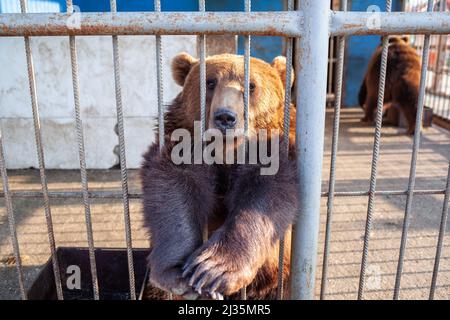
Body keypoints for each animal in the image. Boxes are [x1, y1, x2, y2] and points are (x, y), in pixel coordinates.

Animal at [139, 53, 298, 300]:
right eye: (210, 82)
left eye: (251, 85)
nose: (225, 117)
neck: (226, 155)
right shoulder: (181, 145)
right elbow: (174, 193)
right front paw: (177, 273)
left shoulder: (274, 151)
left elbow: (265, 198)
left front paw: (212, 270)